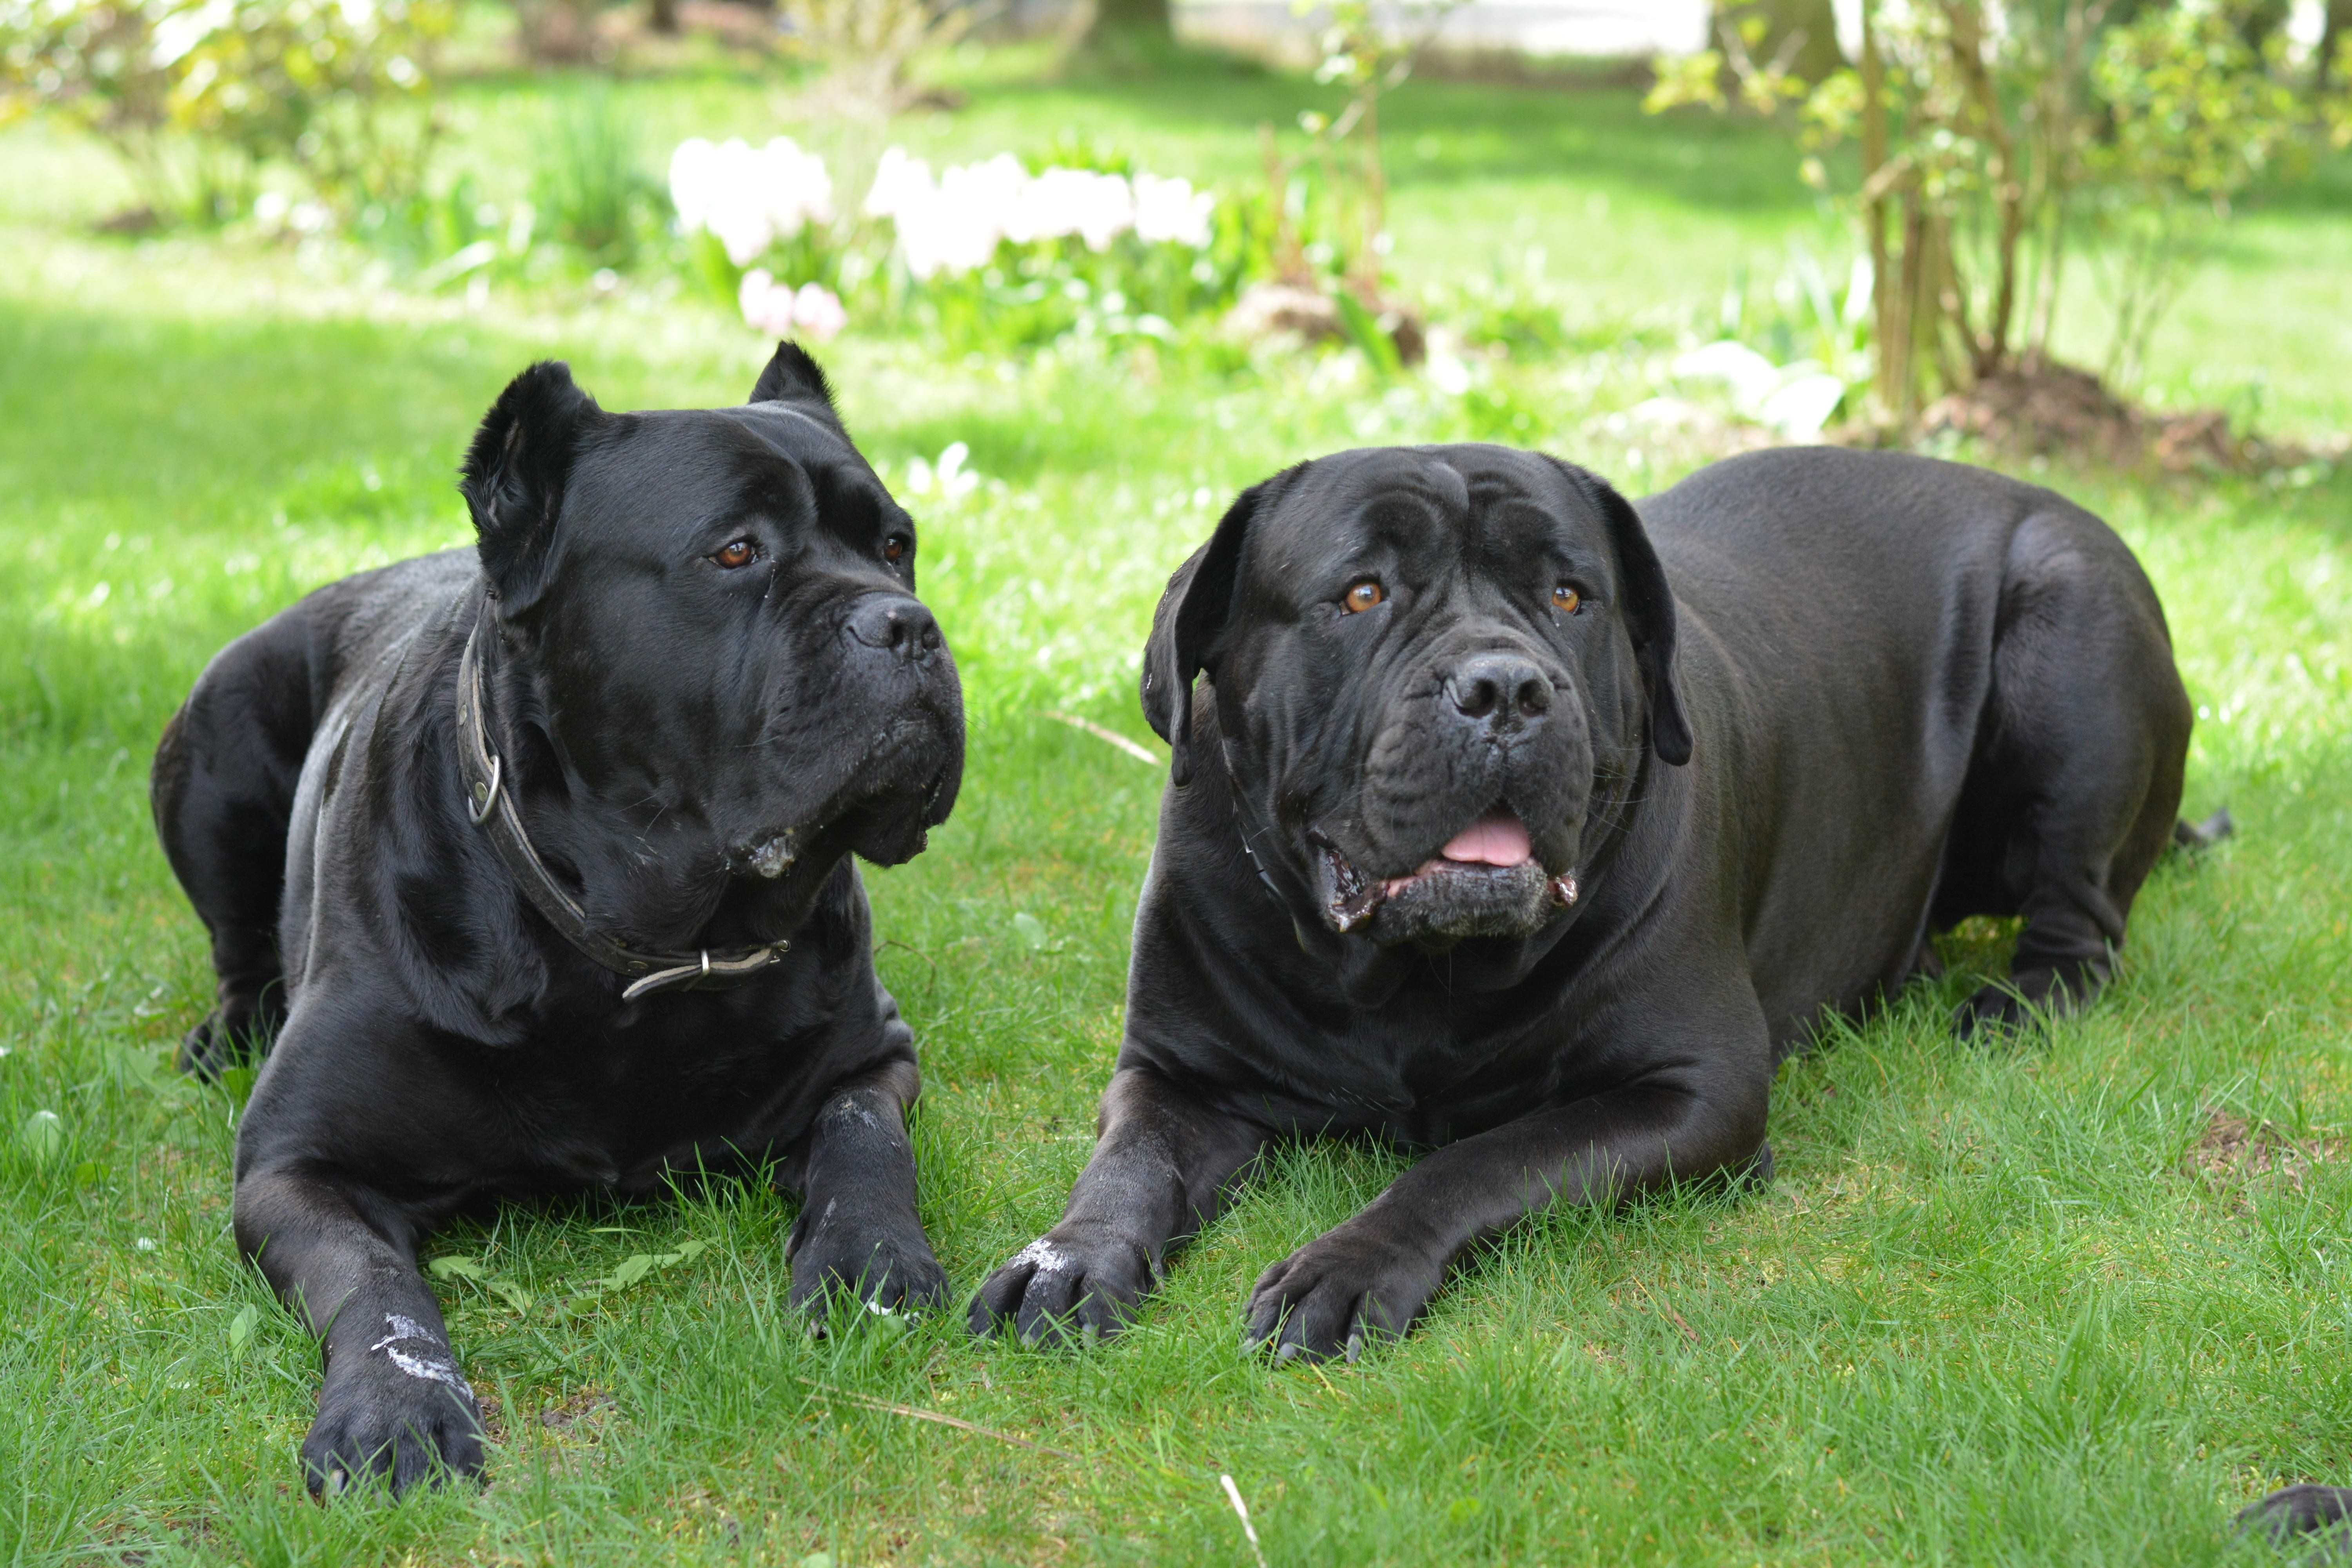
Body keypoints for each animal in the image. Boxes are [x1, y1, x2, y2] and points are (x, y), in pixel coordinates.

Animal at [152, 343, 960, 1495]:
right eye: (736, 551)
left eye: (897, 546)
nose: (908, 625)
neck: (647, 946)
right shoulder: (297, 1162)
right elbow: (374, 1280)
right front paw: (395, 1407)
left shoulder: (872, 1056)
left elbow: (865, 1145)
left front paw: (872, 1263)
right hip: (217, 730)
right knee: (236, 943)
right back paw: (226, 1032)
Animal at [964, 439, 2192, 1363]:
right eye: (1360, 593)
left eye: (1567, 594)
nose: (1504, 686)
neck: (1408, 978)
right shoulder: (1178, 1071)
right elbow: (1125, 1167)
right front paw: (1061, 1261)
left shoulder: (1691, 1091)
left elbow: (1476, 1159)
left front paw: (1347, 1266)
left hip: (2071, 645)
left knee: (2083, 920)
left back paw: (2015, 1004)